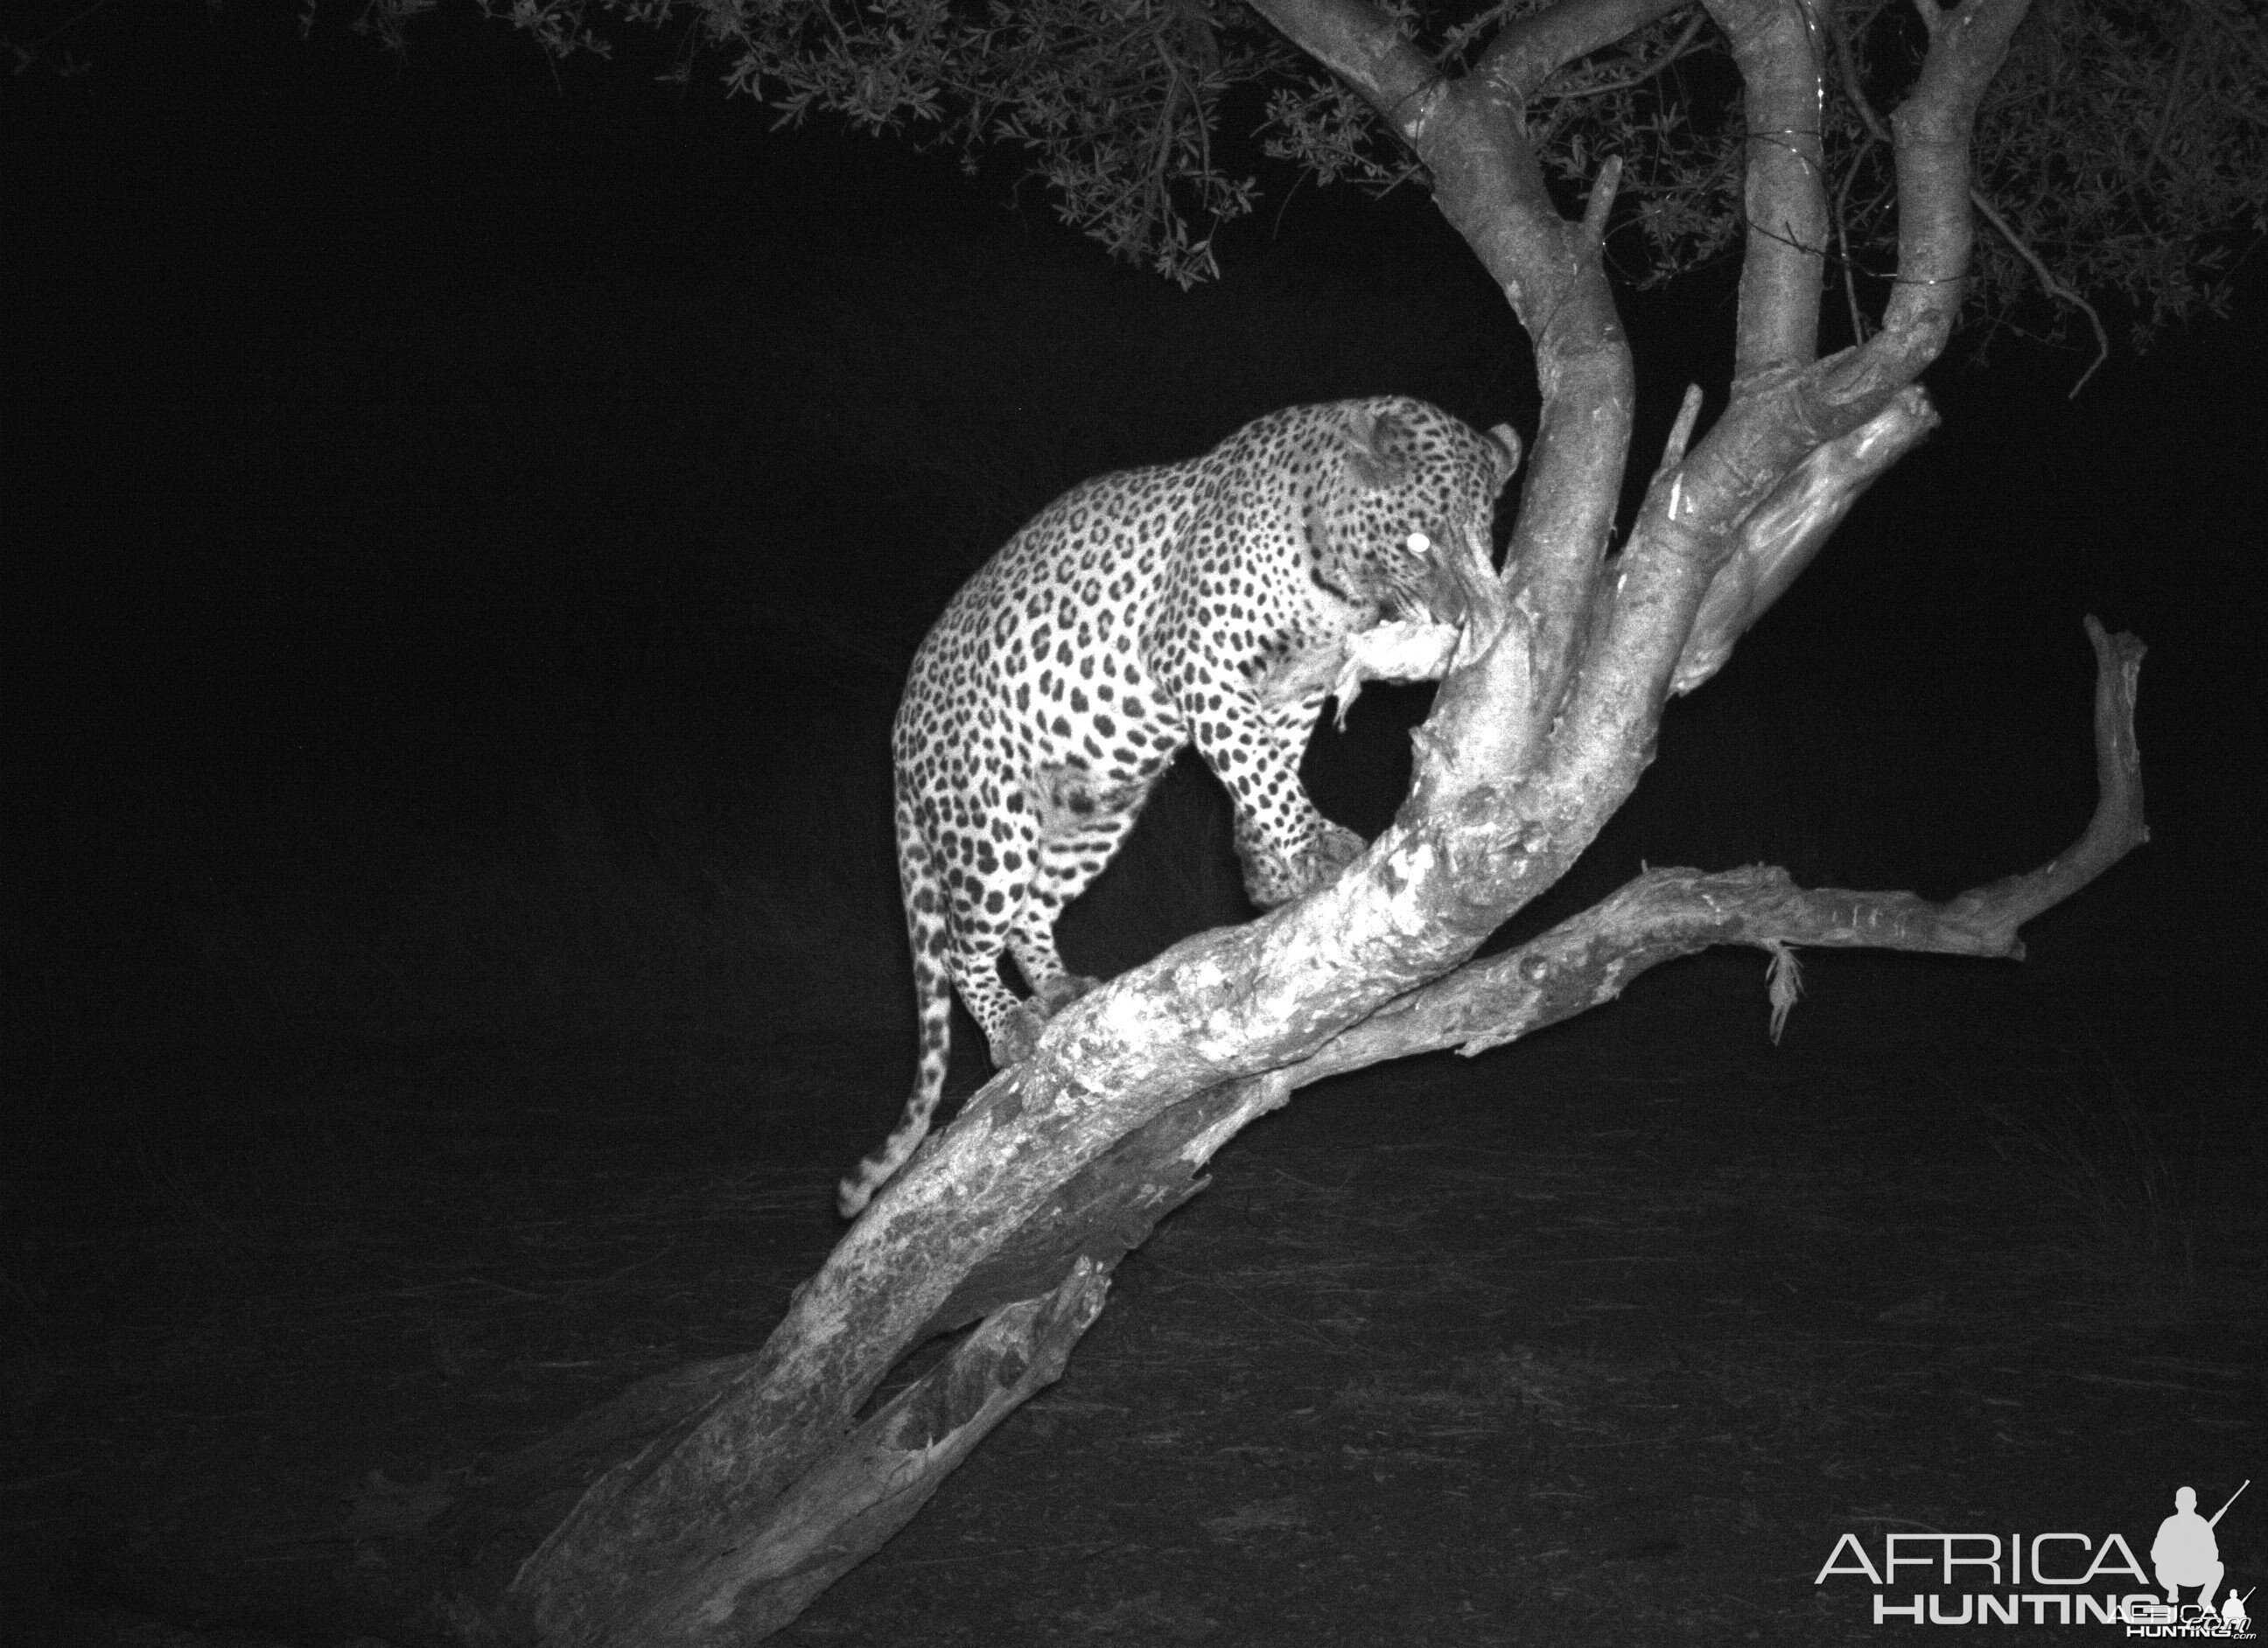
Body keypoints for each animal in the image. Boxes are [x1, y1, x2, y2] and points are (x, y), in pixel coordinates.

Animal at [848, 396, 1523, 1224]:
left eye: (1483, 546)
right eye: (1419, 540)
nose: (1461, 620)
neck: (1336, 581)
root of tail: (901, 726)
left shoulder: (1294, 687)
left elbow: (1271, 763)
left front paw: (1270, 873)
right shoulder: (1199, 659)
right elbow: (1255, 764)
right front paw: (1312, 847)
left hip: (1092, 810)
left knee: (1033, 911)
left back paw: (1059, 987)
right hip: (990, 821)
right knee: (962, 943)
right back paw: (1011, 1025)